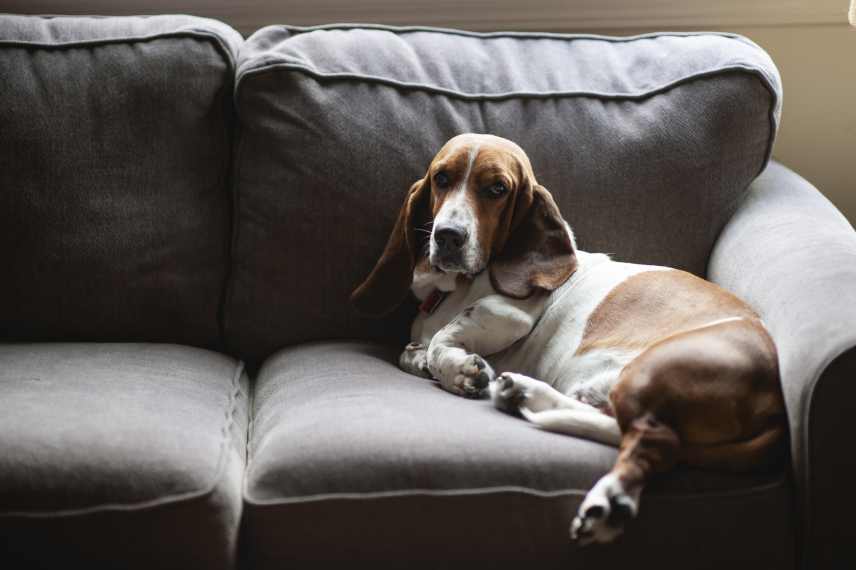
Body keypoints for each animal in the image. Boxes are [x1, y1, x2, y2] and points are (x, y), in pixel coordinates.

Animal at [352, 132, 784, 540]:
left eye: (497, 189)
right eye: (441, 178)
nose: (448, 236)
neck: (452, 290)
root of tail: (776, 399)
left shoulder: (507, 313)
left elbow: (444, 337)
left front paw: (461, 371)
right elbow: (411, 352)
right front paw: (436, 362)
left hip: (650, 369)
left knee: (656, 442)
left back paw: (609, 500)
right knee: (617, 425)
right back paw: (521, 393)